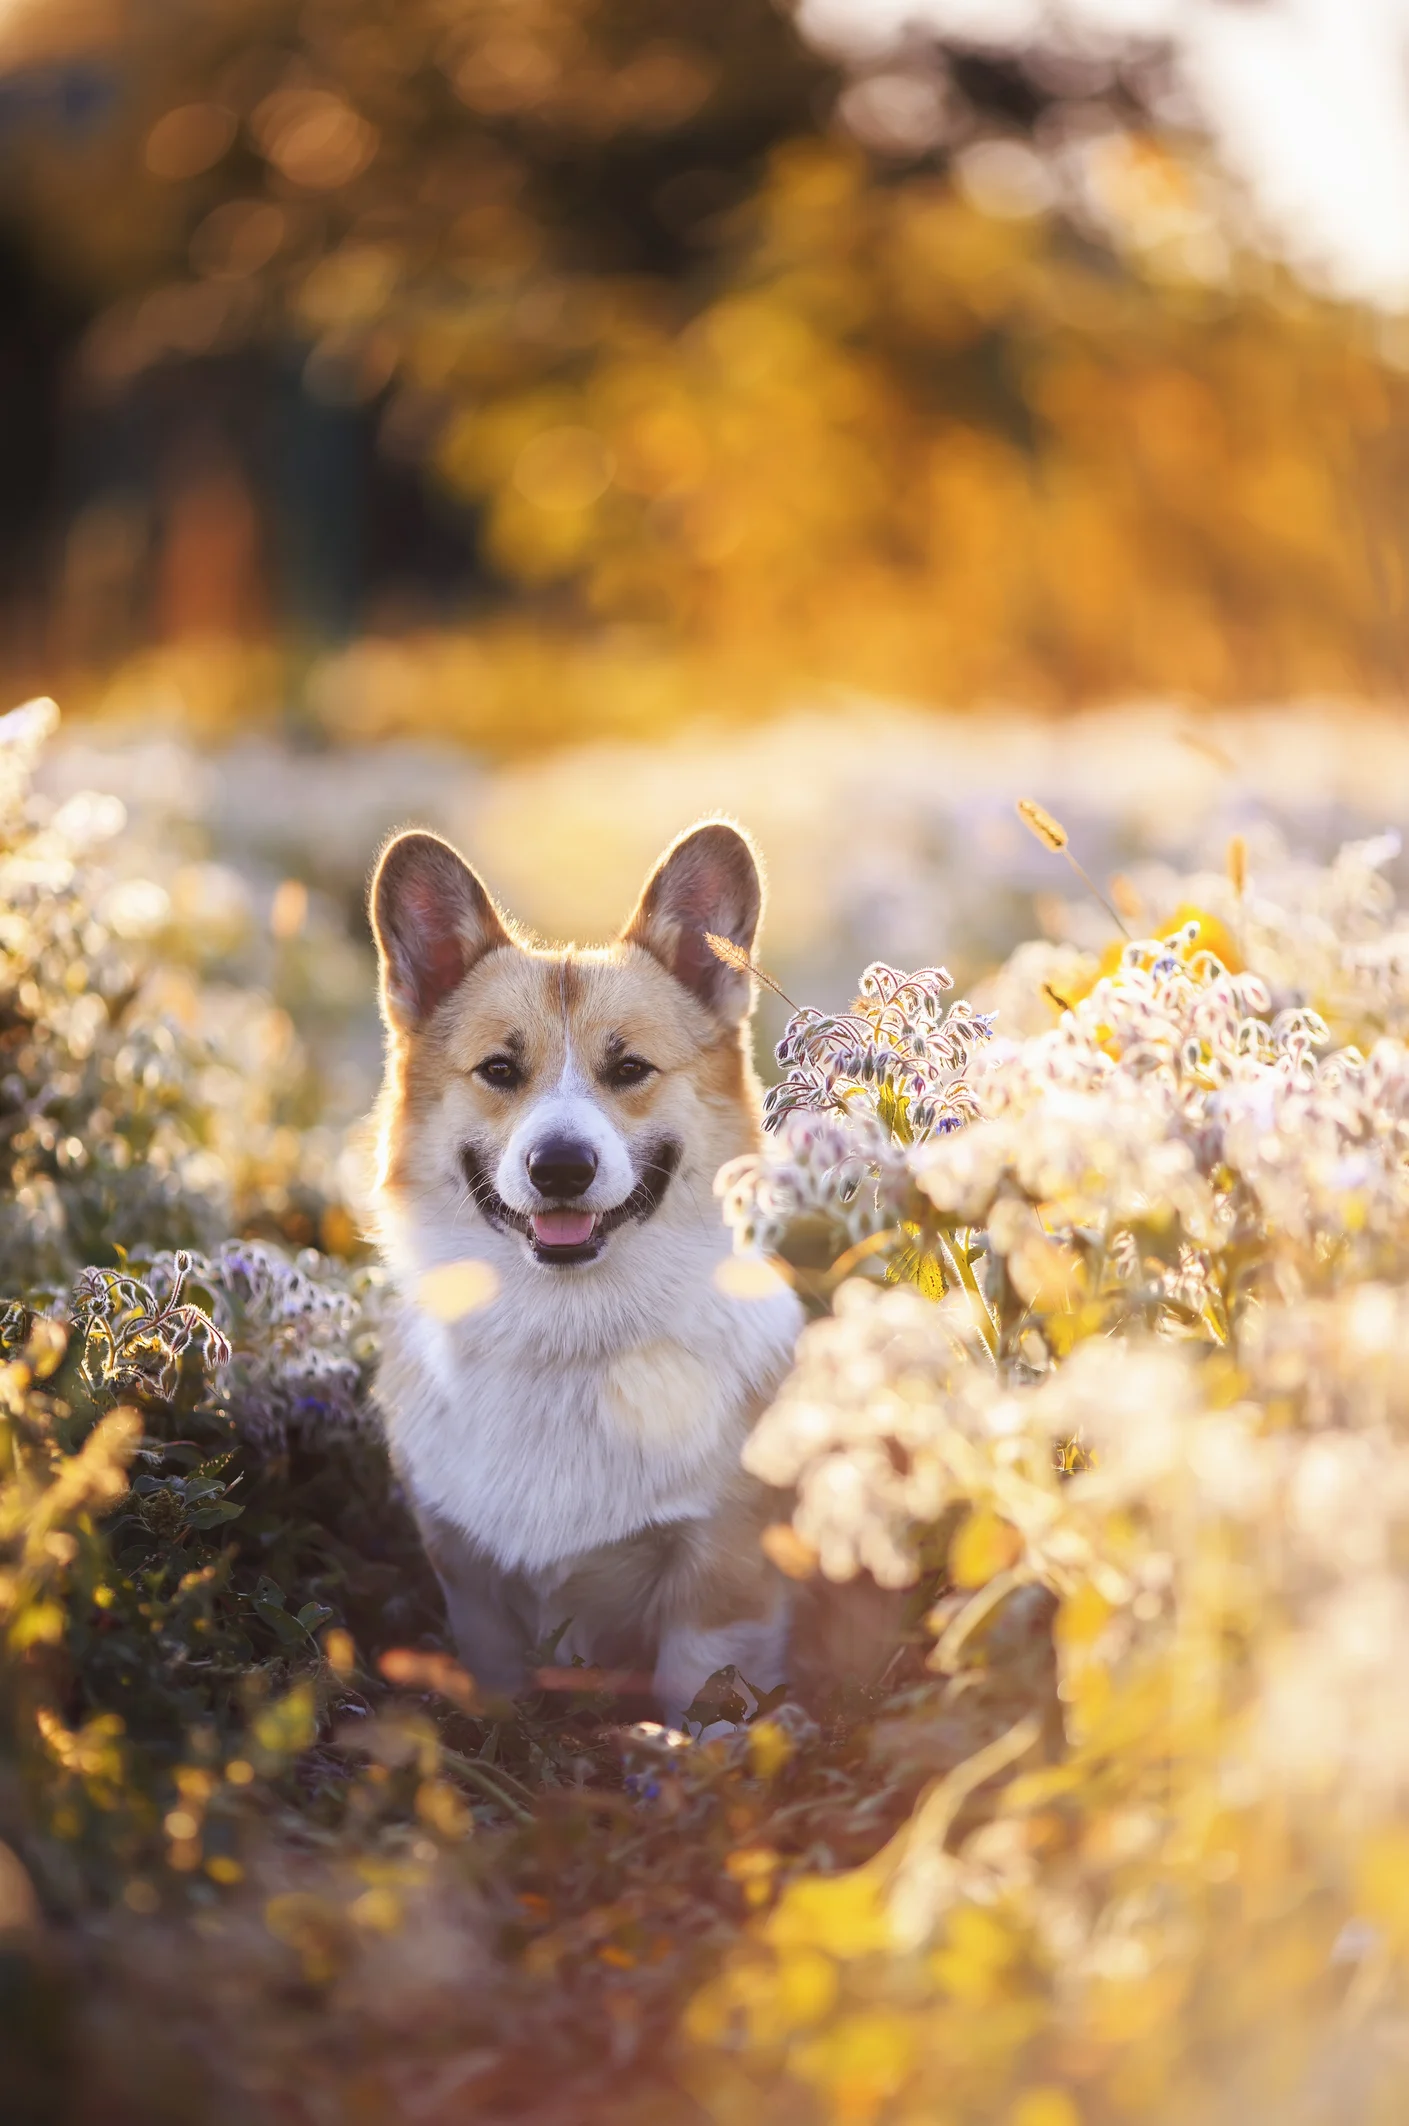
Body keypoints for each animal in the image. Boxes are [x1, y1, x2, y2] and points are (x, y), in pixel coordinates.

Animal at [365, 816, 803, 1726]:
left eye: (628, 1068)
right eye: (499, 1070)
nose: (560, 1167)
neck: (568, 1337)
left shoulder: (722, 1583)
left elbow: (698, 1696)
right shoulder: (472, 1588)